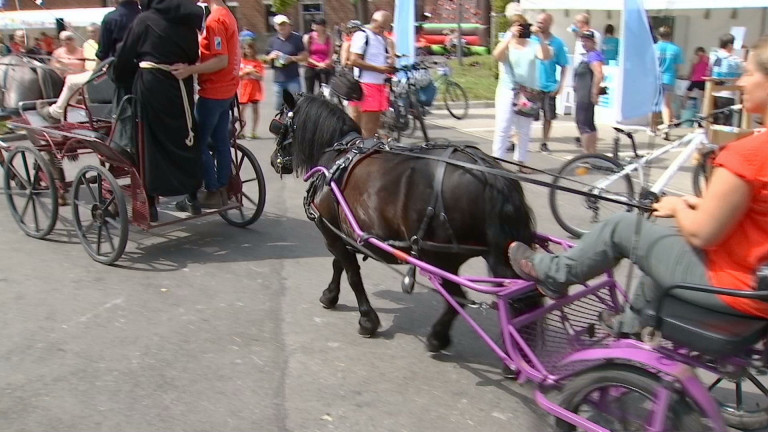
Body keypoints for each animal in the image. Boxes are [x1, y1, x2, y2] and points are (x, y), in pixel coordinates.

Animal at [274, 93, 536, 352]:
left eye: (278, 125)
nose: (273, 160)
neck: (338, 153)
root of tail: (488, 172)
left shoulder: (331, 232)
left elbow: (351, 274)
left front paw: (367, 320)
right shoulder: (343, 232)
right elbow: (339, 265)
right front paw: (330, 295)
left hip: (439, 256)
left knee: (456, 298)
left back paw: (437, 338)